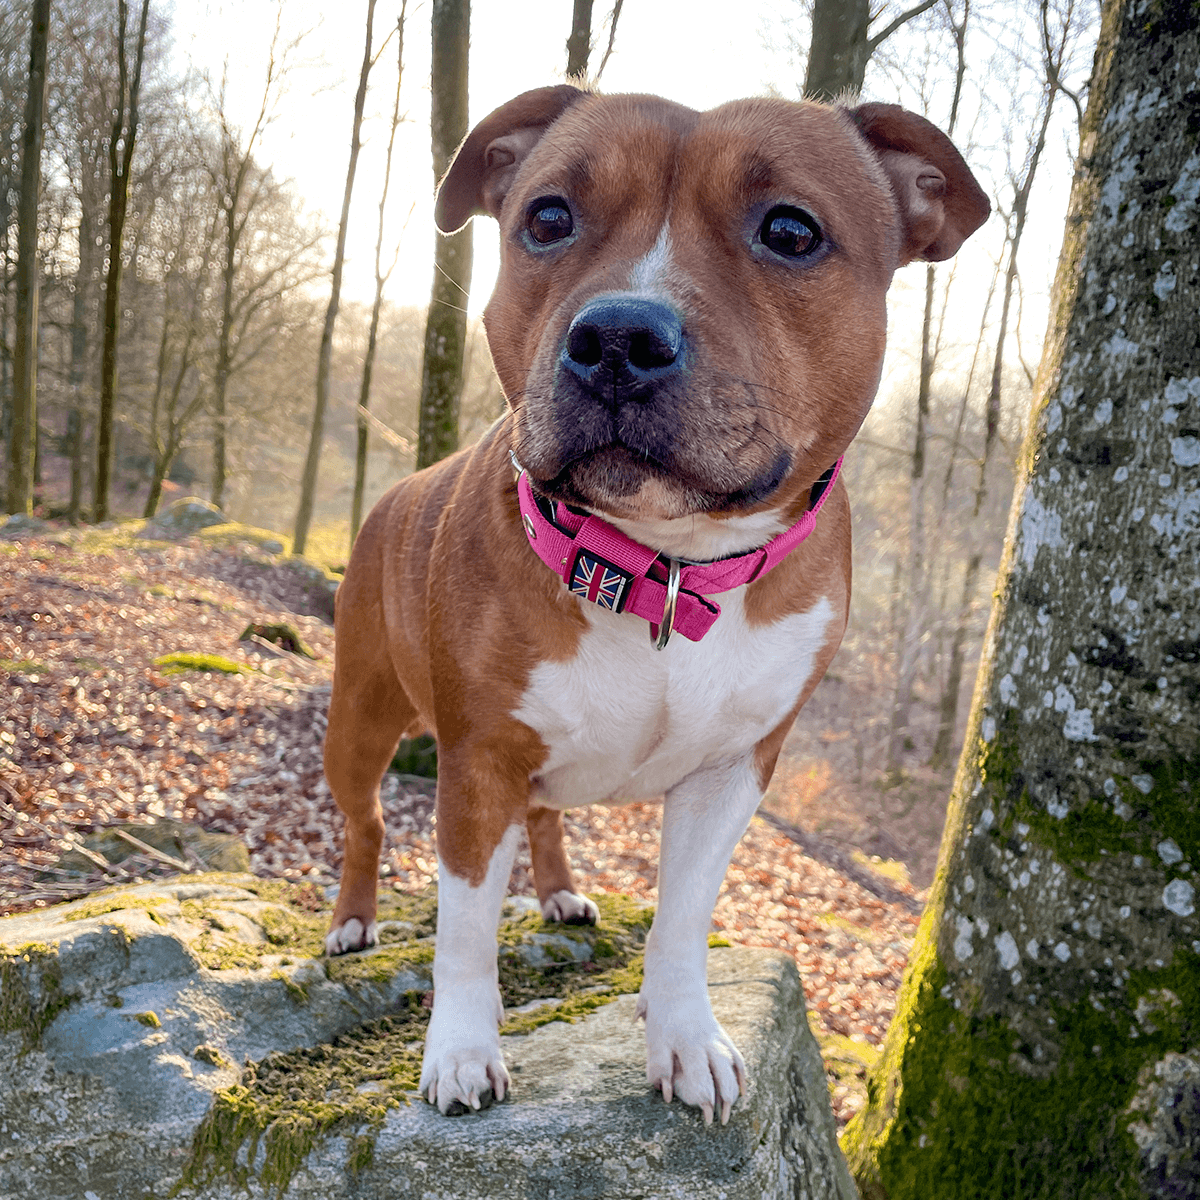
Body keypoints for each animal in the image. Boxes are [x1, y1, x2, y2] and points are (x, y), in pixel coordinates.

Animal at [321, 84, 984, 1123]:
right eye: (548, 218)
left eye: (790, 231)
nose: (617, 339)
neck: (662, 567)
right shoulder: (477, 765)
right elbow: (463, 930)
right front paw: (462, 1050)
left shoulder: (734, 769)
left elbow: (682, 920)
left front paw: (686, 1040)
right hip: (359, 715)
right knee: (368, 822)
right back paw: (353, 922)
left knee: (546, 818)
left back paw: (558, 893)